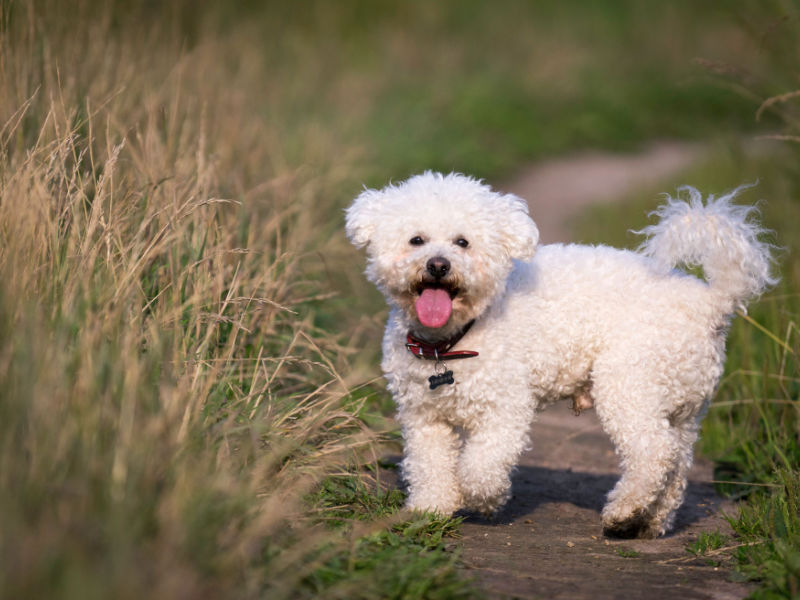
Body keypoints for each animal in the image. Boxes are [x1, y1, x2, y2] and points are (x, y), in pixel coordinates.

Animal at [346, 171, 776, 536]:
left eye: (462, 242)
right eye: (416, 240)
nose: (438, 265)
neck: (450, 342)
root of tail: (709, 302)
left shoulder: (505, 408)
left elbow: (482, 464)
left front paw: (484, 499)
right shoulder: (423, 417)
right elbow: (429, 465)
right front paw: (431, 508)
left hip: (629, 384)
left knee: (654, 452)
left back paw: (623, 511)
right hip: (684, 407)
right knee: (676, 464)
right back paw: (649, 521)